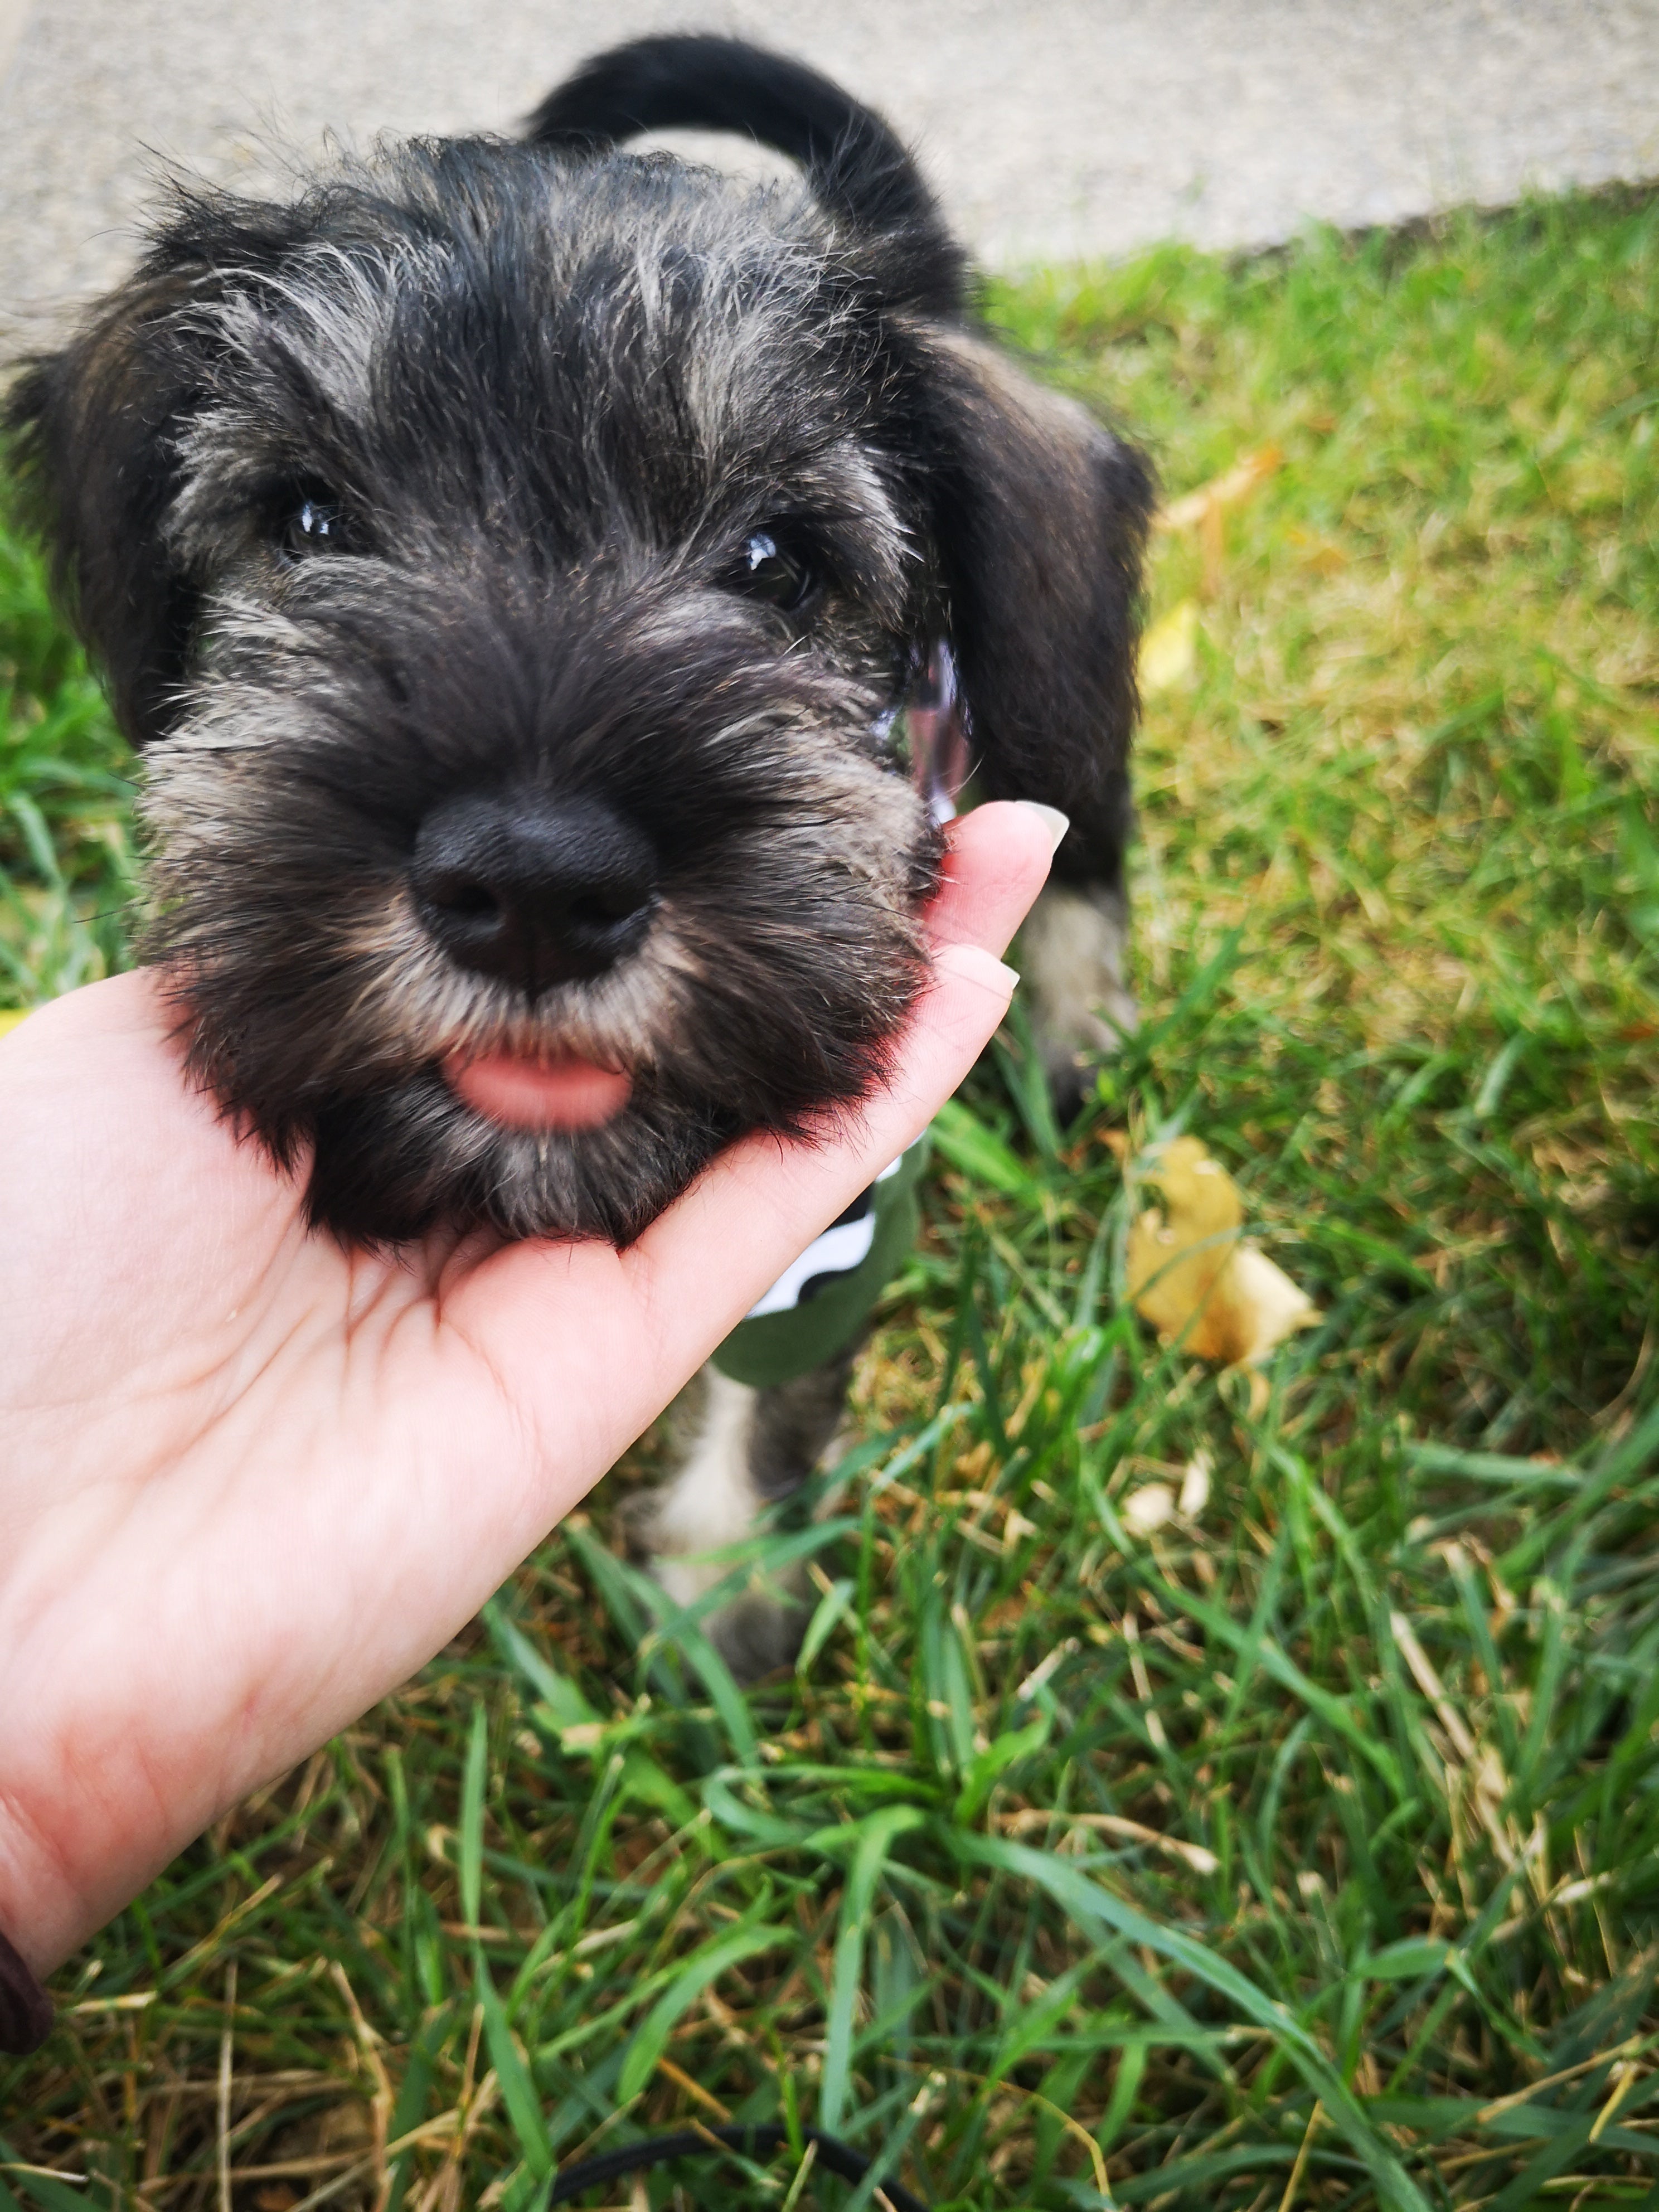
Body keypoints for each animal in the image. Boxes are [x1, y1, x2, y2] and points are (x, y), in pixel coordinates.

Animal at [6, 35, 1150, 1663]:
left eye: (775, 560)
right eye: (309, 517)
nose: (535, 889)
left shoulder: (827, 1225)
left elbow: (766, 1410)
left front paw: (727, 1592)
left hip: (1060, 695)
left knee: (1090, 843)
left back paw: (1075, 1031)